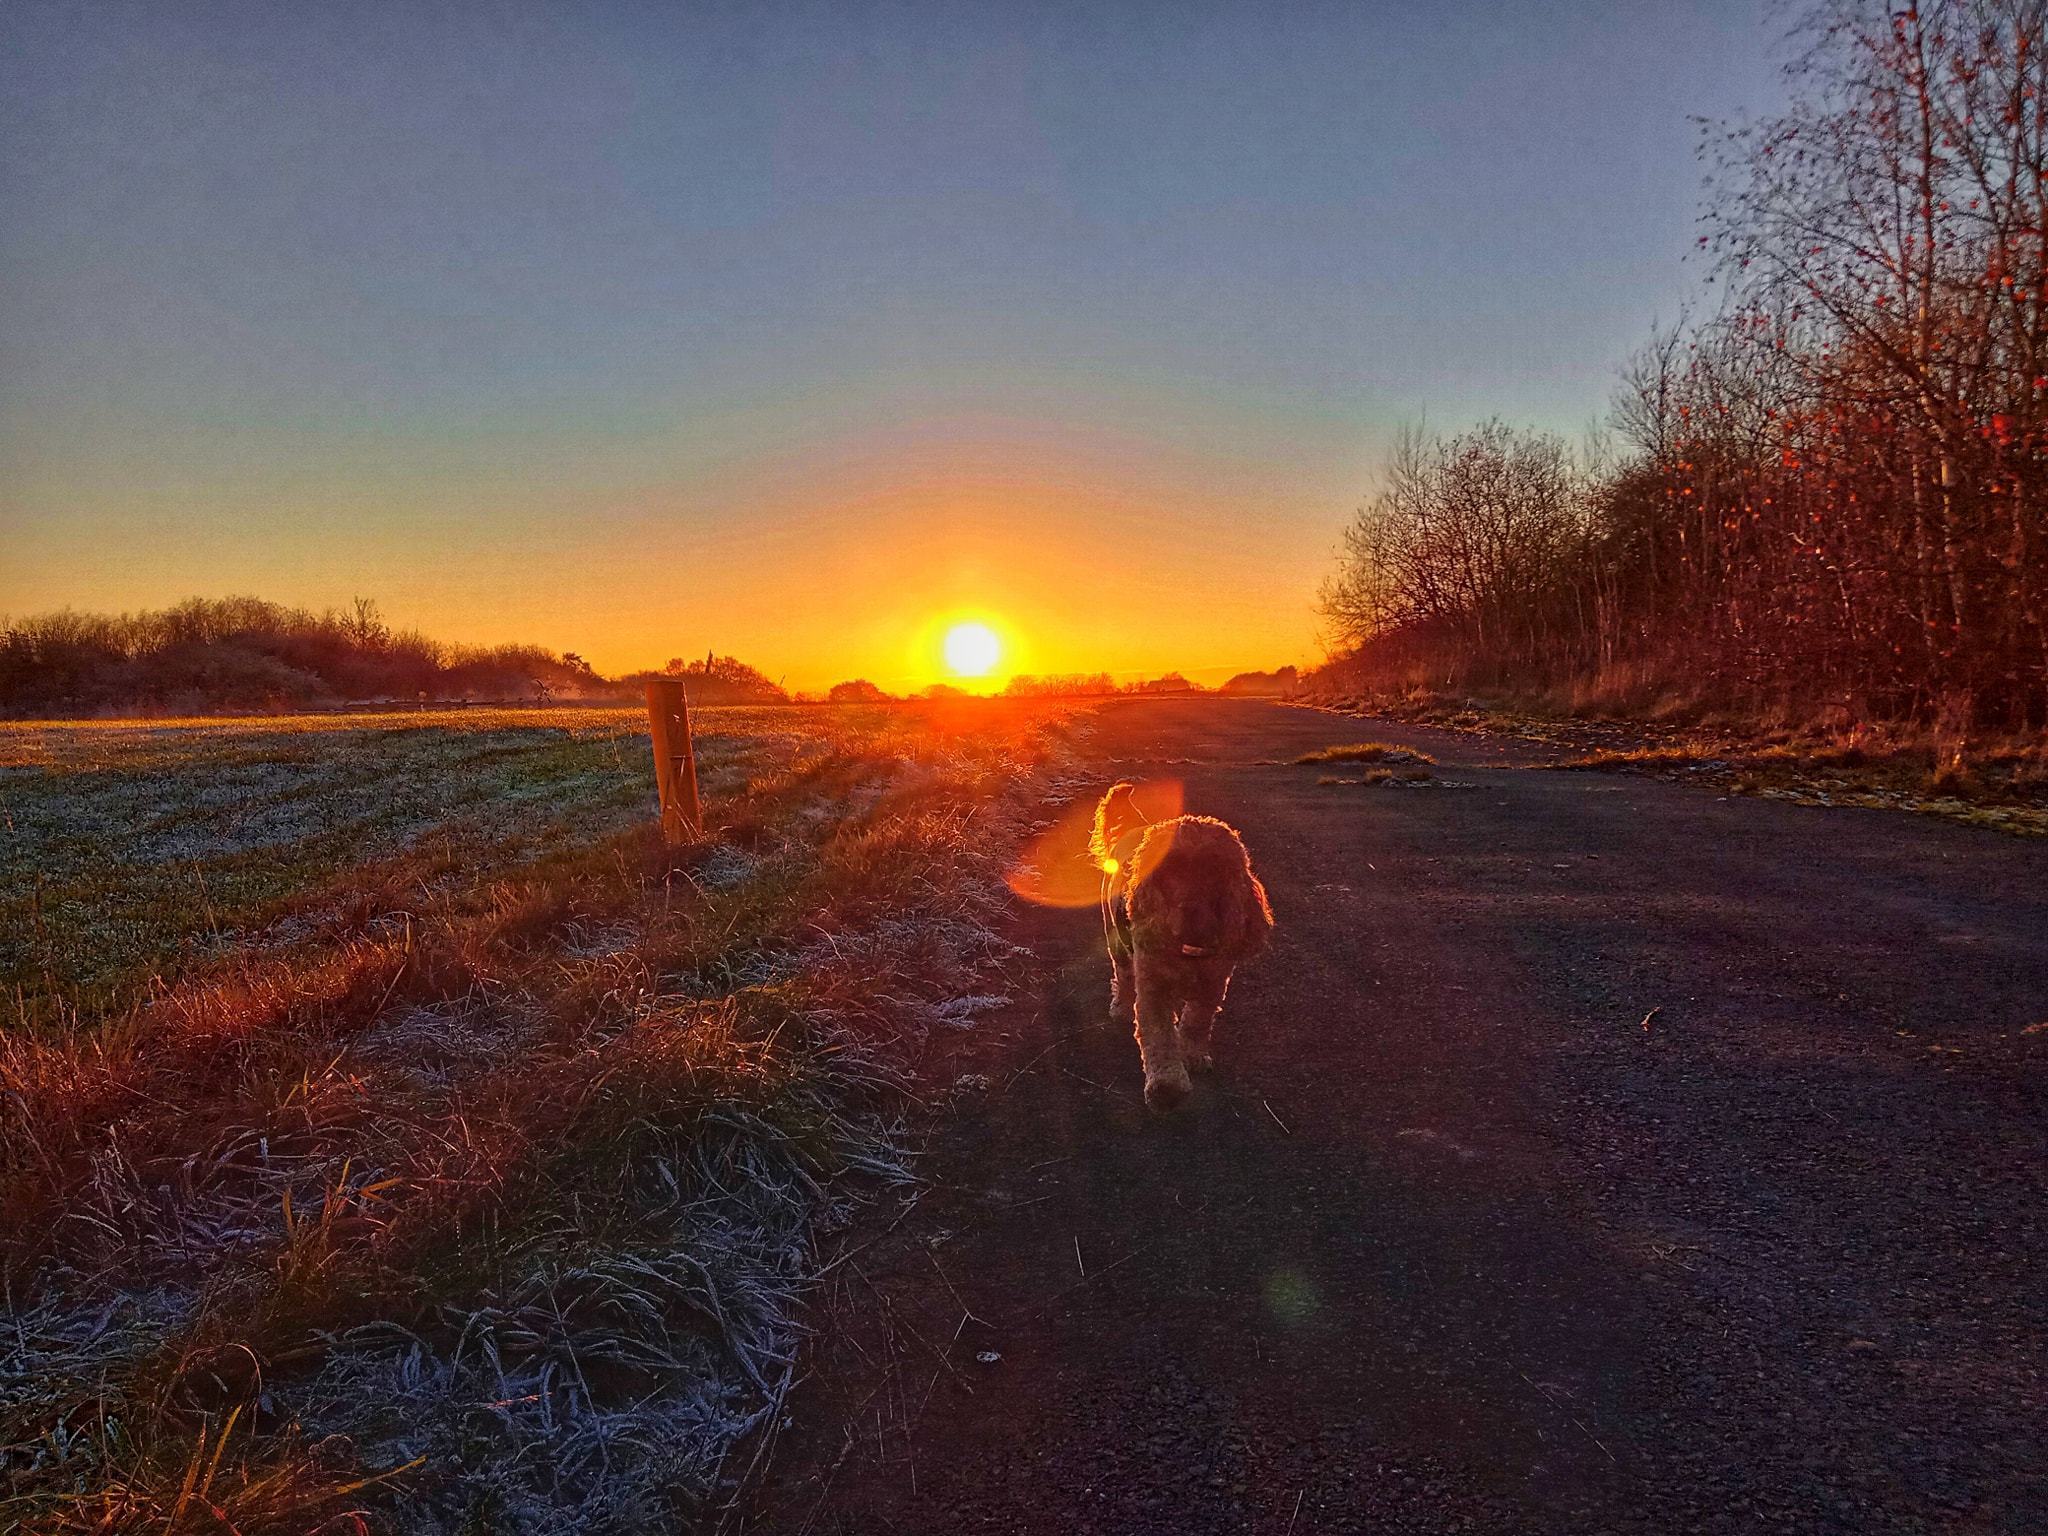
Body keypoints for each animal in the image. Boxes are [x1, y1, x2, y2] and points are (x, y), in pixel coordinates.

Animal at [1097, 786, 1269, 1114]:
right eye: (1169, 870)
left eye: (1214, 868)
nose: (1190, 914)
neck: (1189, 949)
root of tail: (1133, 827)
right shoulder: (1153, 989)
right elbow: (1159, 1037)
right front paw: (1167, 1087)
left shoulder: (1213, 984)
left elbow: (1197, 1023)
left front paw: (1192, 1054)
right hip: (1116, 940)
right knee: (1123, 975)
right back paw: (1121, 1006)